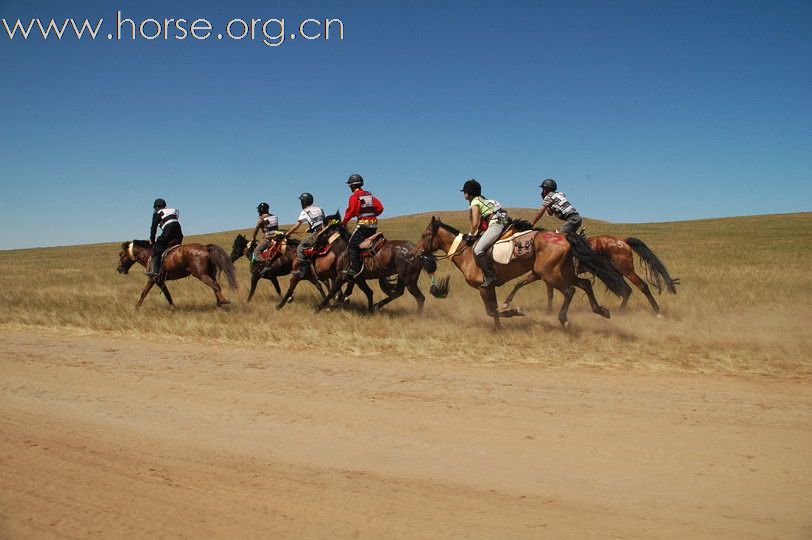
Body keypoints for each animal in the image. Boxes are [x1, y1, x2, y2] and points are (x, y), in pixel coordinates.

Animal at [416, 216, 632, 330]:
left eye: (425, 234)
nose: (416, 252)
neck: (467, 253)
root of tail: (564, 237)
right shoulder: (490, 287)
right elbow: (493, 310)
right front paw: (499, 328)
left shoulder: (483, 288)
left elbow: (491, 310)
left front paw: (515, 312)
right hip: (564, 272)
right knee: (585, 284)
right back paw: (601, 310)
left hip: (550, 274)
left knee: (569, 291)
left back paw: (565, 320)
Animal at [502, 233, 680, 316]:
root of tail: (623, 240)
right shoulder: (539, 274)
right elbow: (525, 285)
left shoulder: (544, 274)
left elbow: (546, 291)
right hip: (616, 273)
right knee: (627, 290)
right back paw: (620, 312)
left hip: (626, 270)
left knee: (642, 286)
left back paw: (657, 311)